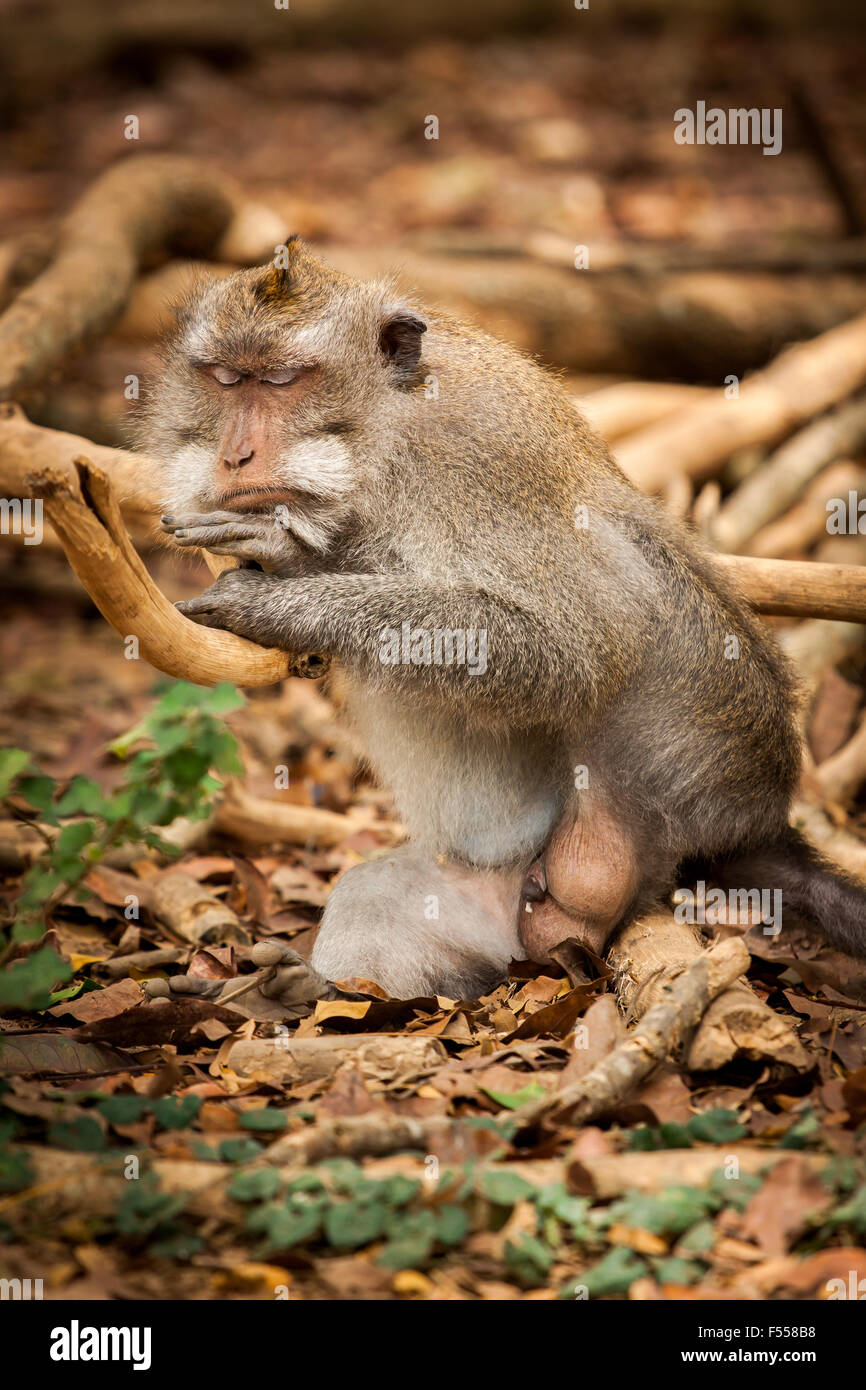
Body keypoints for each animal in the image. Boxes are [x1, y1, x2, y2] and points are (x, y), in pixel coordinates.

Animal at [141, 238, 866, 999]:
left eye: (282, 380)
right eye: (226, 379)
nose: (235, 455)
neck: (384, 436)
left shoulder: (481, 461)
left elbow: (565, 647)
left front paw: (289, 577)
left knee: (632, 577)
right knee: (382, 901)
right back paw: (323, 993)